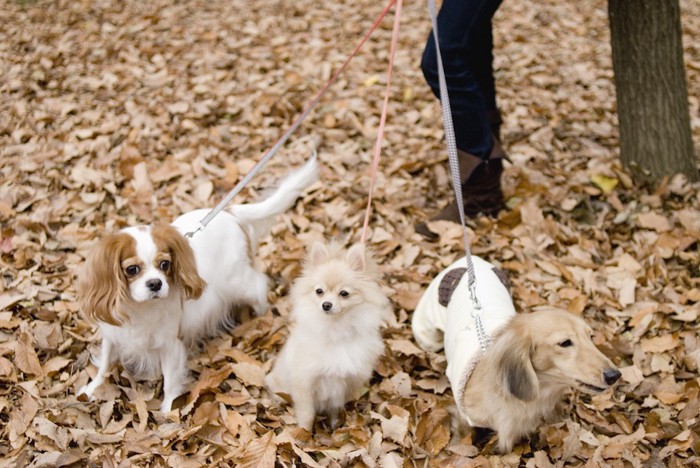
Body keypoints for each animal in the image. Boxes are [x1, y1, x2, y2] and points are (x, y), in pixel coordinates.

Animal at [76, 156, 318, 410]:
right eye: (132, 270)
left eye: (165, 264)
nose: (155, 283)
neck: (140, 308)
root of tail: (229, 213)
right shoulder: (114, 336)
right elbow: (104, 364)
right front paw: (92, 389)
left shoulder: (171, 344)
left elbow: (170, 380)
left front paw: (168, 411)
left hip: (238, 281)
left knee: (259, 286)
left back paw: (262, 316)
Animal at [264, 243, 392, 430]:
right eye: (319, 291)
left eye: (344, 293)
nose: (326, 304)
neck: (336, 329)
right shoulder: (304, 383)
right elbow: (307, 414)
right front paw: (303, 432)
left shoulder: (344, 385)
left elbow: (335, 410)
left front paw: (334, 426)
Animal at [412, 256, 620, 454]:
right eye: (565, 343)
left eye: (590, 337)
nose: (615, 375)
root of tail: (467, 261)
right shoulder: (465, 415)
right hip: (427, 333)